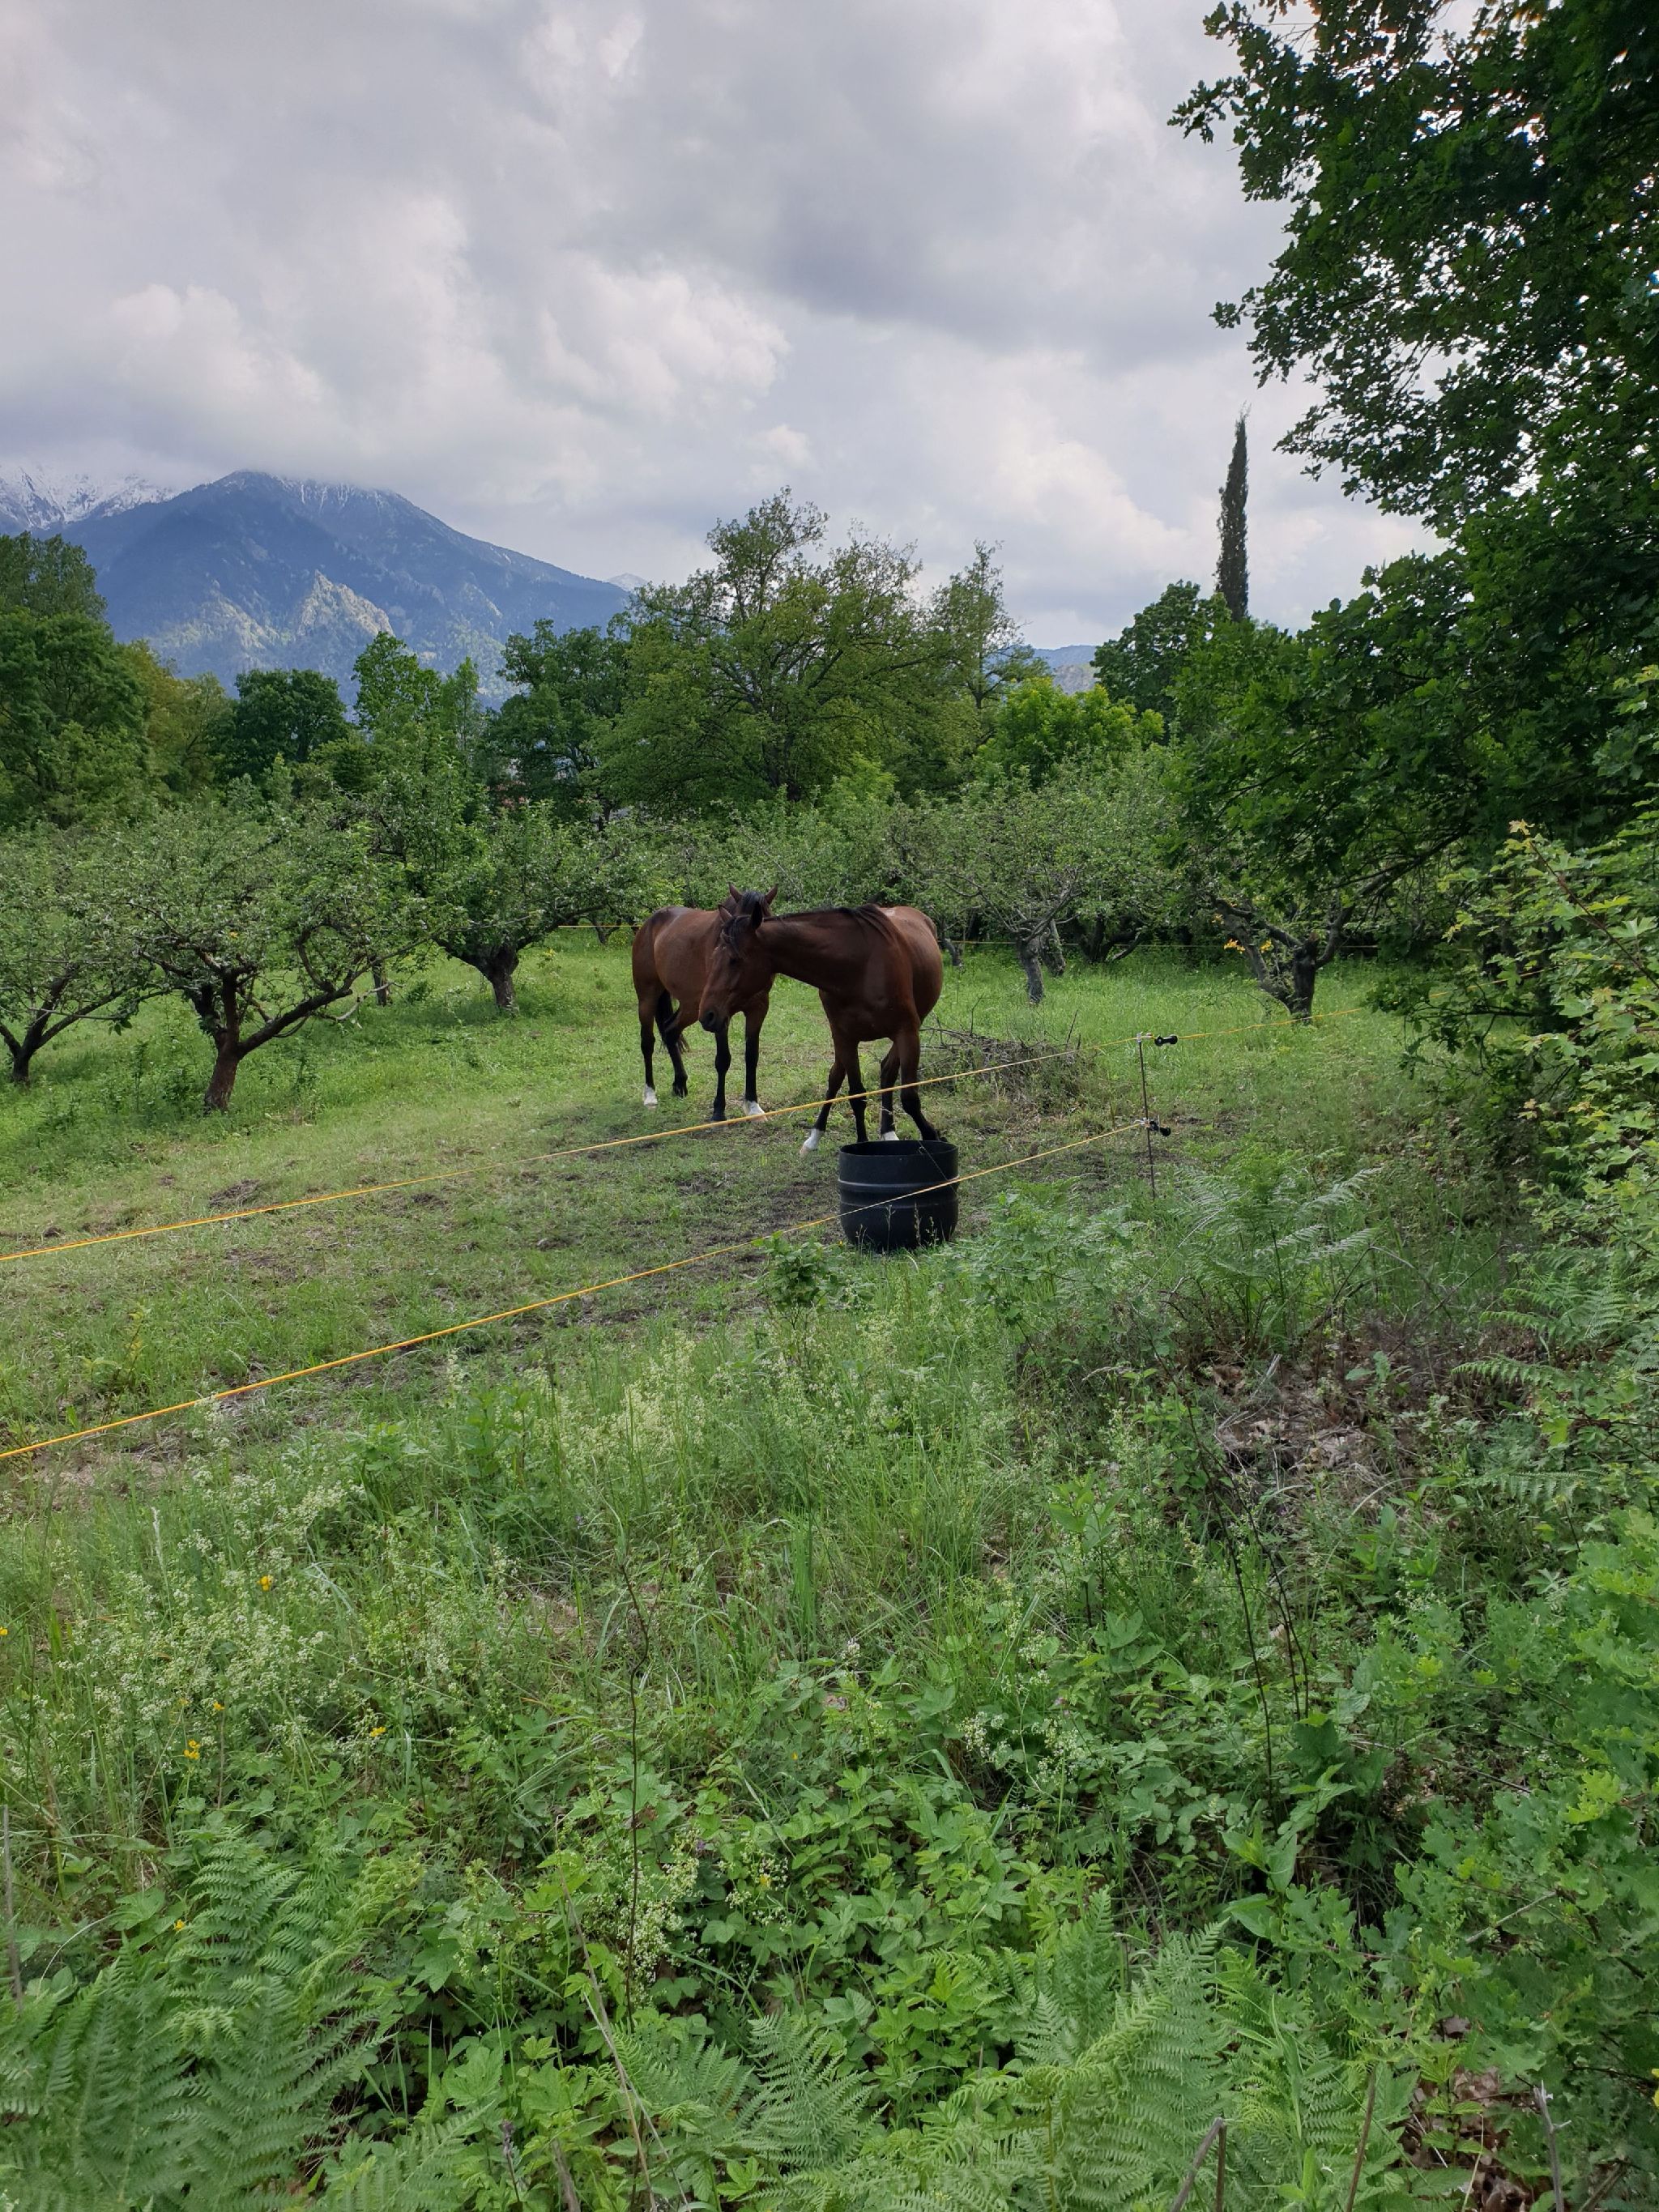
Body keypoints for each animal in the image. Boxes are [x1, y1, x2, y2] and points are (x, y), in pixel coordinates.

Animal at [630, 888, 778, 1119]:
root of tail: (649, 924)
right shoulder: (719, 1015)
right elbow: (723, 1059)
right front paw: (718, 1110)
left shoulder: (758, 1009)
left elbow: (752, 1056)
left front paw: (753, 1106)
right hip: (648, 998)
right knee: (648, 1042)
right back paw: (650, 1095)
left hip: (691, 1007)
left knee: (670, 1031)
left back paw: (680, 1084)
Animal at [698, 893, 944, 1151]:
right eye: (714, 957)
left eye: (734, 960)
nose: (708, 1015)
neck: (859, 966)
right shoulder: (845, 1037)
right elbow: (856, 1095)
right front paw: (861, 1145)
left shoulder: (907, 1032)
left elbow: (909, 1098)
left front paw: (932, 1135)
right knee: (841, 1076)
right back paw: (818, 1137)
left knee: (887, 1071)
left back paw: (888, 1132)